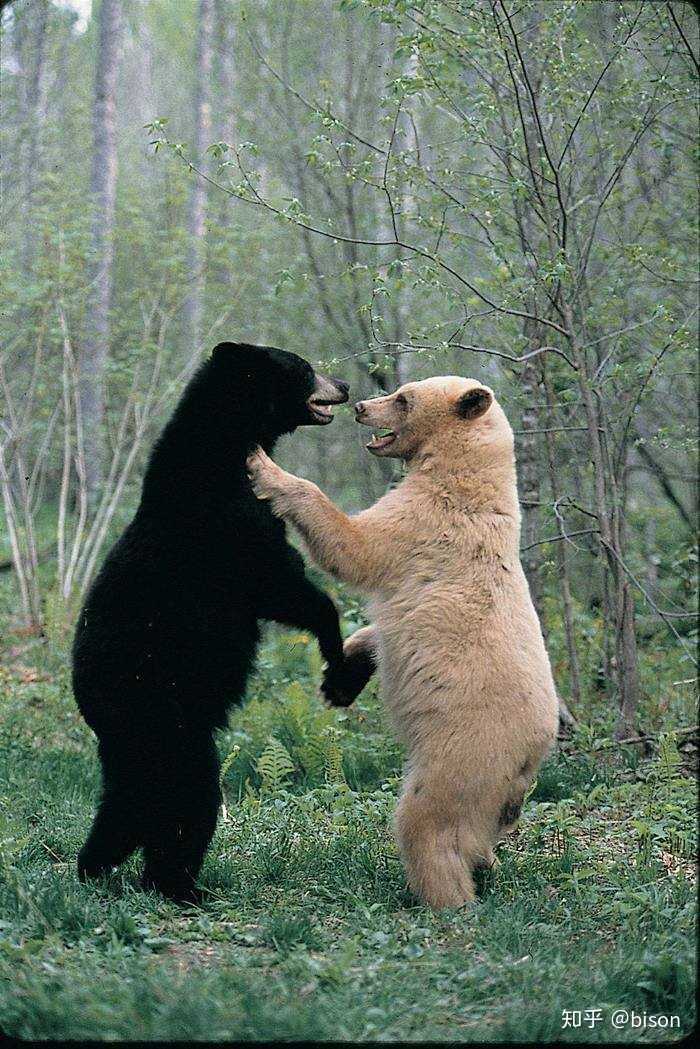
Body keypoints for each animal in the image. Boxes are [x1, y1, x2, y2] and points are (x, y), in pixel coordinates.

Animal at [72, 342, 349, 902]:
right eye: (305, 367)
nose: (345, 386)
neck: (222, 451)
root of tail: (88, 701)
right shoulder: (231, 526)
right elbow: (280, 583)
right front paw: (335, 661)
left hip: (137, 738)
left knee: (127, 803)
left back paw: (96, 865)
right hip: (159, 713)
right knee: (188, 794)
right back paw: (178, 884)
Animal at [247, 376, 560, 910]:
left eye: (403, 397)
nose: (360, 406)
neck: (462, 470)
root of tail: (533, 751)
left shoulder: (425, 520)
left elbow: (356, 547)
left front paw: (264, 465)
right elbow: (379, 629)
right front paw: (342, 677)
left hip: (463, 748)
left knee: (428, 822)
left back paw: (445, 898)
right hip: (498, 783)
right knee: (482, 832)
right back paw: (486, 867)